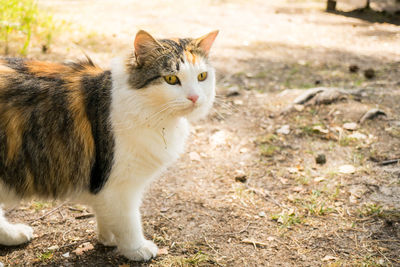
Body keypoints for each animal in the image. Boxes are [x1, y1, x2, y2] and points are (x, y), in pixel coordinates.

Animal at [0, 29, 219, 262]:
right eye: (171, 79)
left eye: (202, 76)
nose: (195, 97)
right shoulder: (120, 186)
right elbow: (128, 222)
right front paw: (136, 249)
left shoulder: (104, 186)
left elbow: (106, 216)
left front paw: (109, 238)